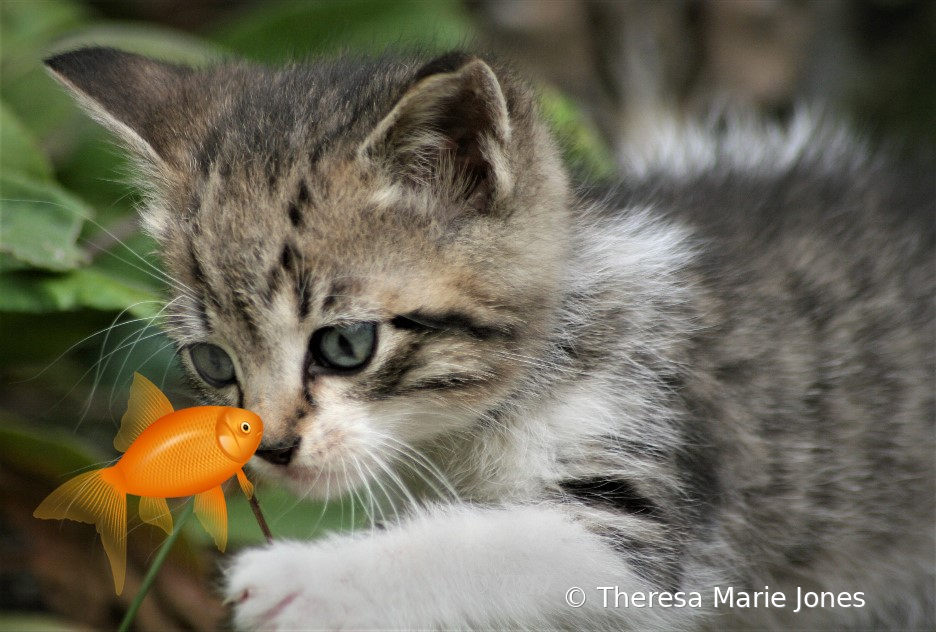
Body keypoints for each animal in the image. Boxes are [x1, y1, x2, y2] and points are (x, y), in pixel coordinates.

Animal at [47, 47, 932, 628]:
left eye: (345, 346)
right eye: (213, 361)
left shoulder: (640, 508)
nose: (270, 448)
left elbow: (494, 548)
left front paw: (306, 577)